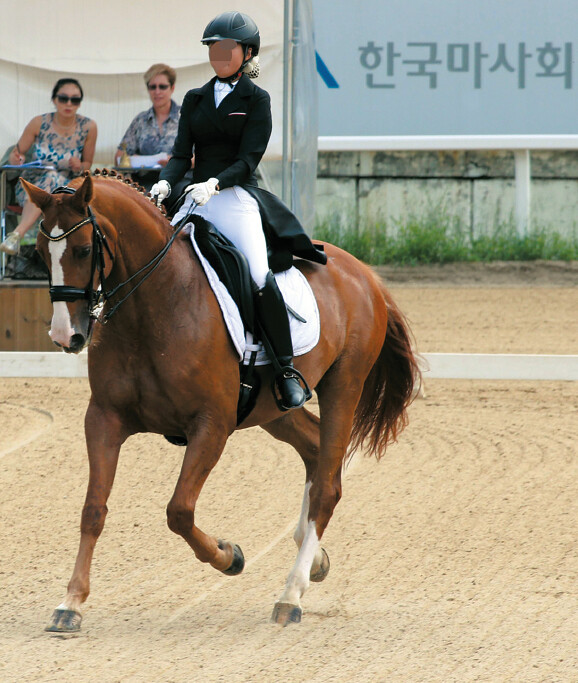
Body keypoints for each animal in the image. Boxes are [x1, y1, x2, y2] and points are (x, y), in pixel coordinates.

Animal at [23, 171, 418, 632]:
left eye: (84, 250)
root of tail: (364, 273)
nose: (65, 337)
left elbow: (179, 510)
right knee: (316, 448)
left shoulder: (210, 425)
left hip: (344, 385)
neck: (155, 302)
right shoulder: (104, 418)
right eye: (39, 253)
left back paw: (291, 593)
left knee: (327, 485)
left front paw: (230, 556)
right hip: (274, 409)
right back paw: (312, 556)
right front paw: (70, 604)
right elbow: (93, 510)